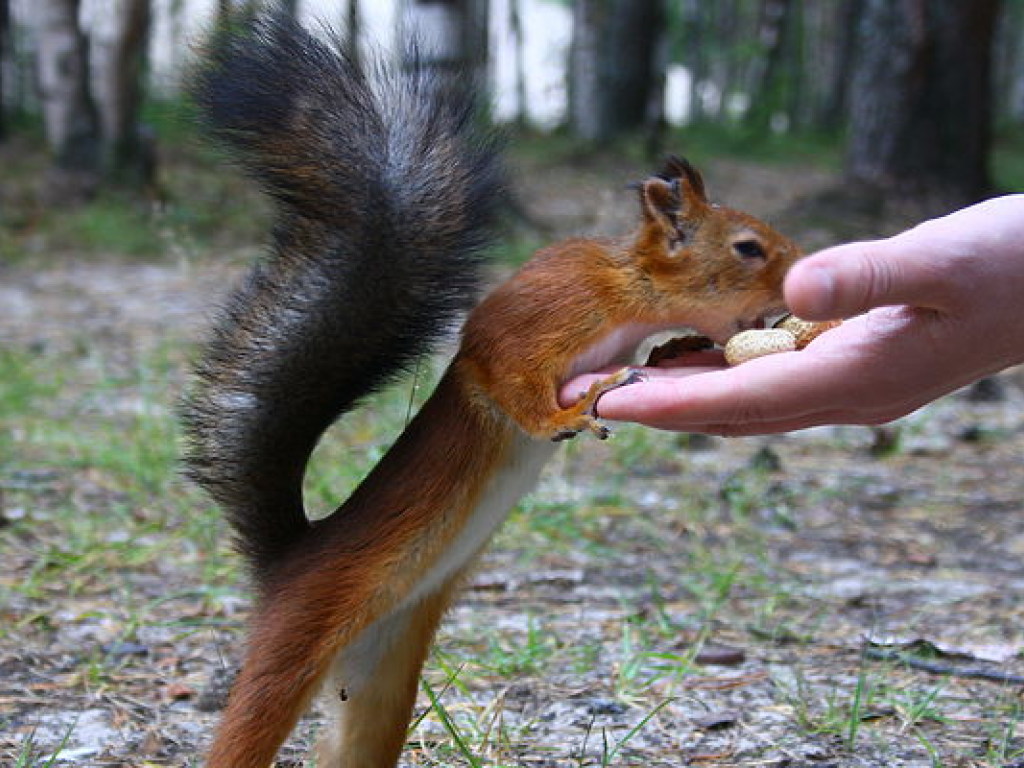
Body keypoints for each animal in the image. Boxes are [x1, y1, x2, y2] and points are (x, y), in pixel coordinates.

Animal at [182, 12, 806, 768]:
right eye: (748, 247)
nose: (804, 268)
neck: (630, 292)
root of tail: (288, 561)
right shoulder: (535, 318)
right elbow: (507, 377)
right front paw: (571, 411)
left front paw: (677, 347)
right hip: (293, 645)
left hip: (382, 677)